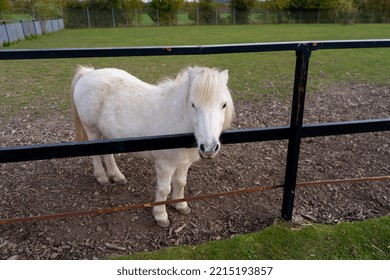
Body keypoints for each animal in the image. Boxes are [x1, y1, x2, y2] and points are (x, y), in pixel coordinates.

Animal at [71, 66, 233, 228]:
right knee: (95, 154)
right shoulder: (165, 165)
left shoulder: (184, 163)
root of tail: (88, 73)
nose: (209, 148)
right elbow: (164, 189)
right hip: (92, 130)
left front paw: (180, 205)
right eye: (193, 104)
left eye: (224, 105)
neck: (177, 120)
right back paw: (102, 177)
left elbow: (180, 183)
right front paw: (161, 215)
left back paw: (116, 175)